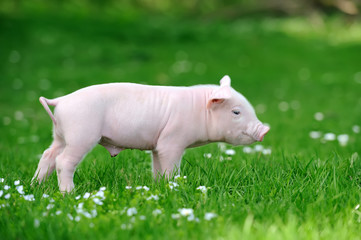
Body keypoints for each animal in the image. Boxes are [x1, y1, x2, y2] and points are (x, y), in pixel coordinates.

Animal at [32, 76, 268, 192]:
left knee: (47, 155)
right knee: (63, 161)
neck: (198, 110)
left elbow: (157, 168)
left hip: (61, 136)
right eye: (236, 112)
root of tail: (61, 100)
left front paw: (158, 186)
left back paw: (36, 185)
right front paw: (173, 186)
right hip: (80, 135)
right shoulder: (172, 141)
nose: (265, 129)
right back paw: (69, 193)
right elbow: (171, 168)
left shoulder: (157, 146)